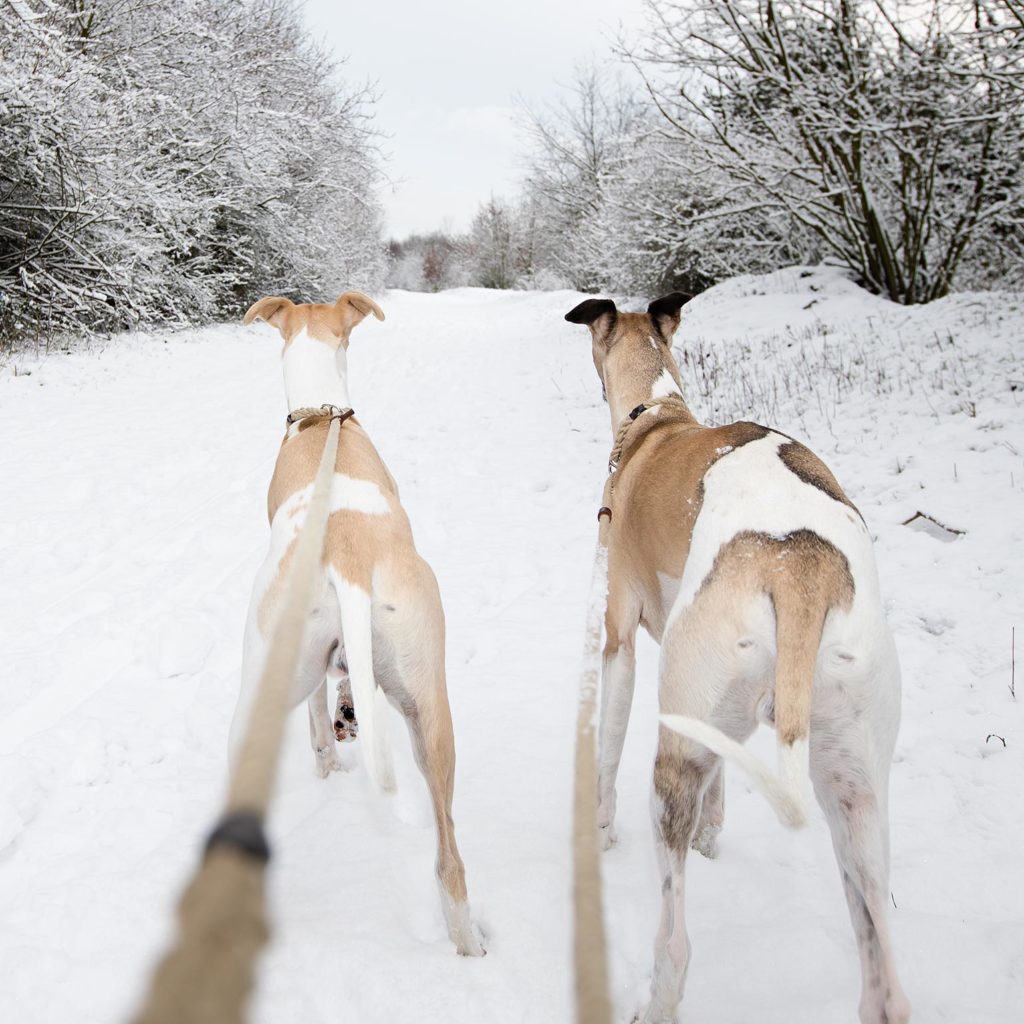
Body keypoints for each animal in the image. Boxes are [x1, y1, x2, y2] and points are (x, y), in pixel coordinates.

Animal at [231, 290, 483, 958]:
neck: (323, 419)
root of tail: (345, 562)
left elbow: (320, 714)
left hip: (263, 676)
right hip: (431, 709)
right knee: (449, 857)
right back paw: (468, 941)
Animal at [565, 292, 909, 1024]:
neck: (657, 416)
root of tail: (802, 571)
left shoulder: (618, 633)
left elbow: (605, 746)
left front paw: (600, 827)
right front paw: (714, 829)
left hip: (674, 754)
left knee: (675, 944)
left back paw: (656, 997)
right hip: (855, 788)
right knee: (886, 984)